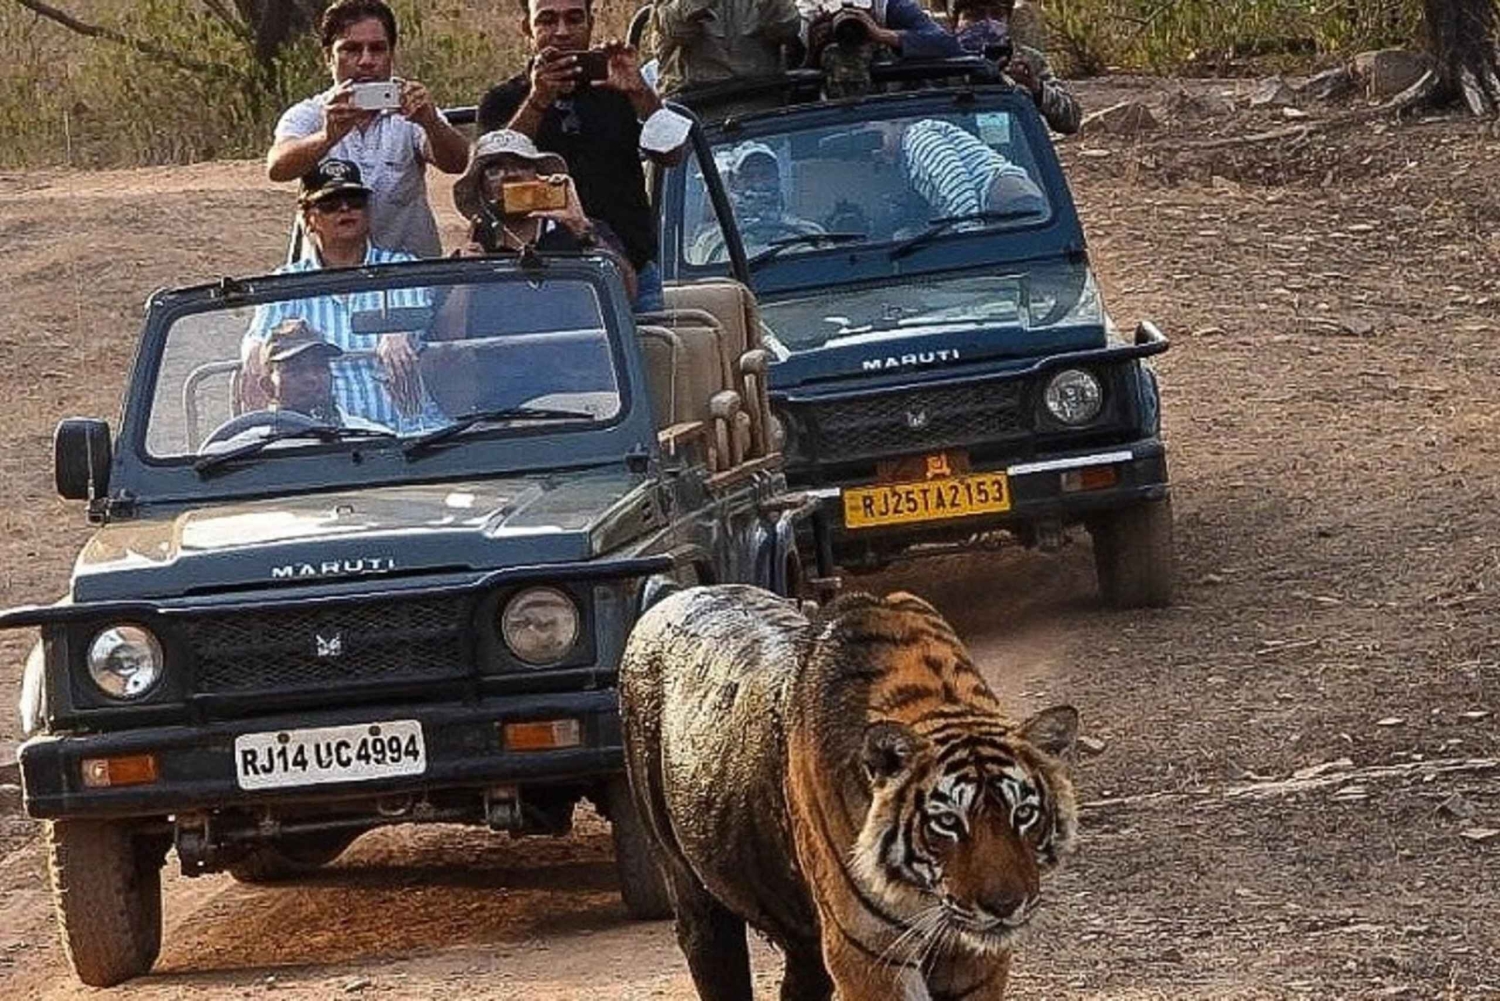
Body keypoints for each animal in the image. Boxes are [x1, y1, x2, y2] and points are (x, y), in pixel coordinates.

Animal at [618, 584, 1079, 1001]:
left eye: (1024, 814)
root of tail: (668, 596)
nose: (1005, 906)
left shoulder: (975, 960)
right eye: (947, 822)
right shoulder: (868, 953)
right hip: (696, 900)